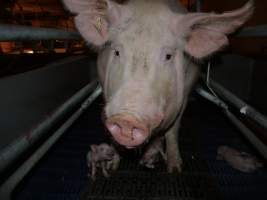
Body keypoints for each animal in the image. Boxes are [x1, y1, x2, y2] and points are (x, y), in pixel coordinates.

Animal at [63, 0, 255, 172]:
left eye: (168, 56)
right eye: (117, 52)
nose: (127, 118)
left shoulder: (185, 94)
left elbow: (173, 130)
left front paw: (175, 169)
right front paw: (112, 167)